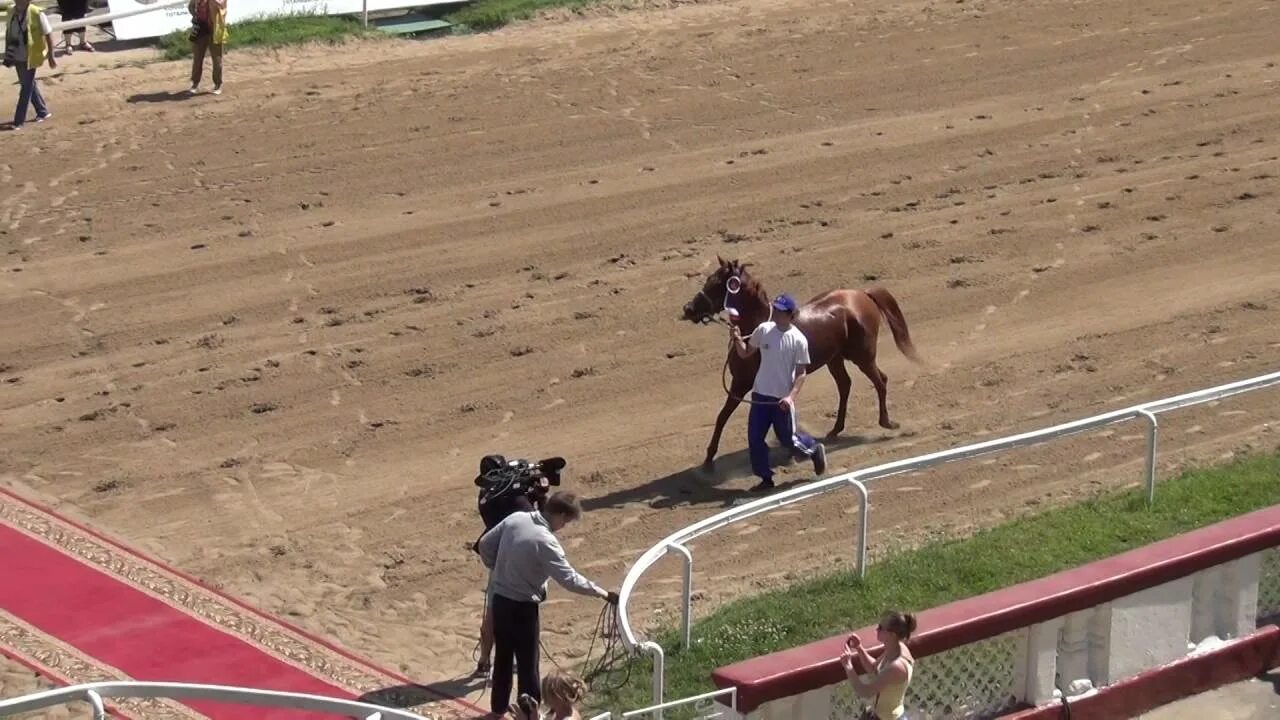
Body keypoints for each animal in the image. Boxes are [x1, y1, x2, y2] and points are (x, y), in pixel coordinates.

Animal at [680, 256, 921, 466]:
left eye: (717, 285)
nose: (688, 309)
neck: (759, 330)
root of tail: (862, 294)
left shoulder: (744, 384)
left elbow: (729, 416)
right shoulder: (740, 384)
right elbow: (723, 417)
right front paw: (709, 458)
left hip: (862, 356)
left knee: (880, 381)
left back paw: (887, 423)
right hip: (835, 359)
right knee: (845, 385)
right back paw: (835, 430)